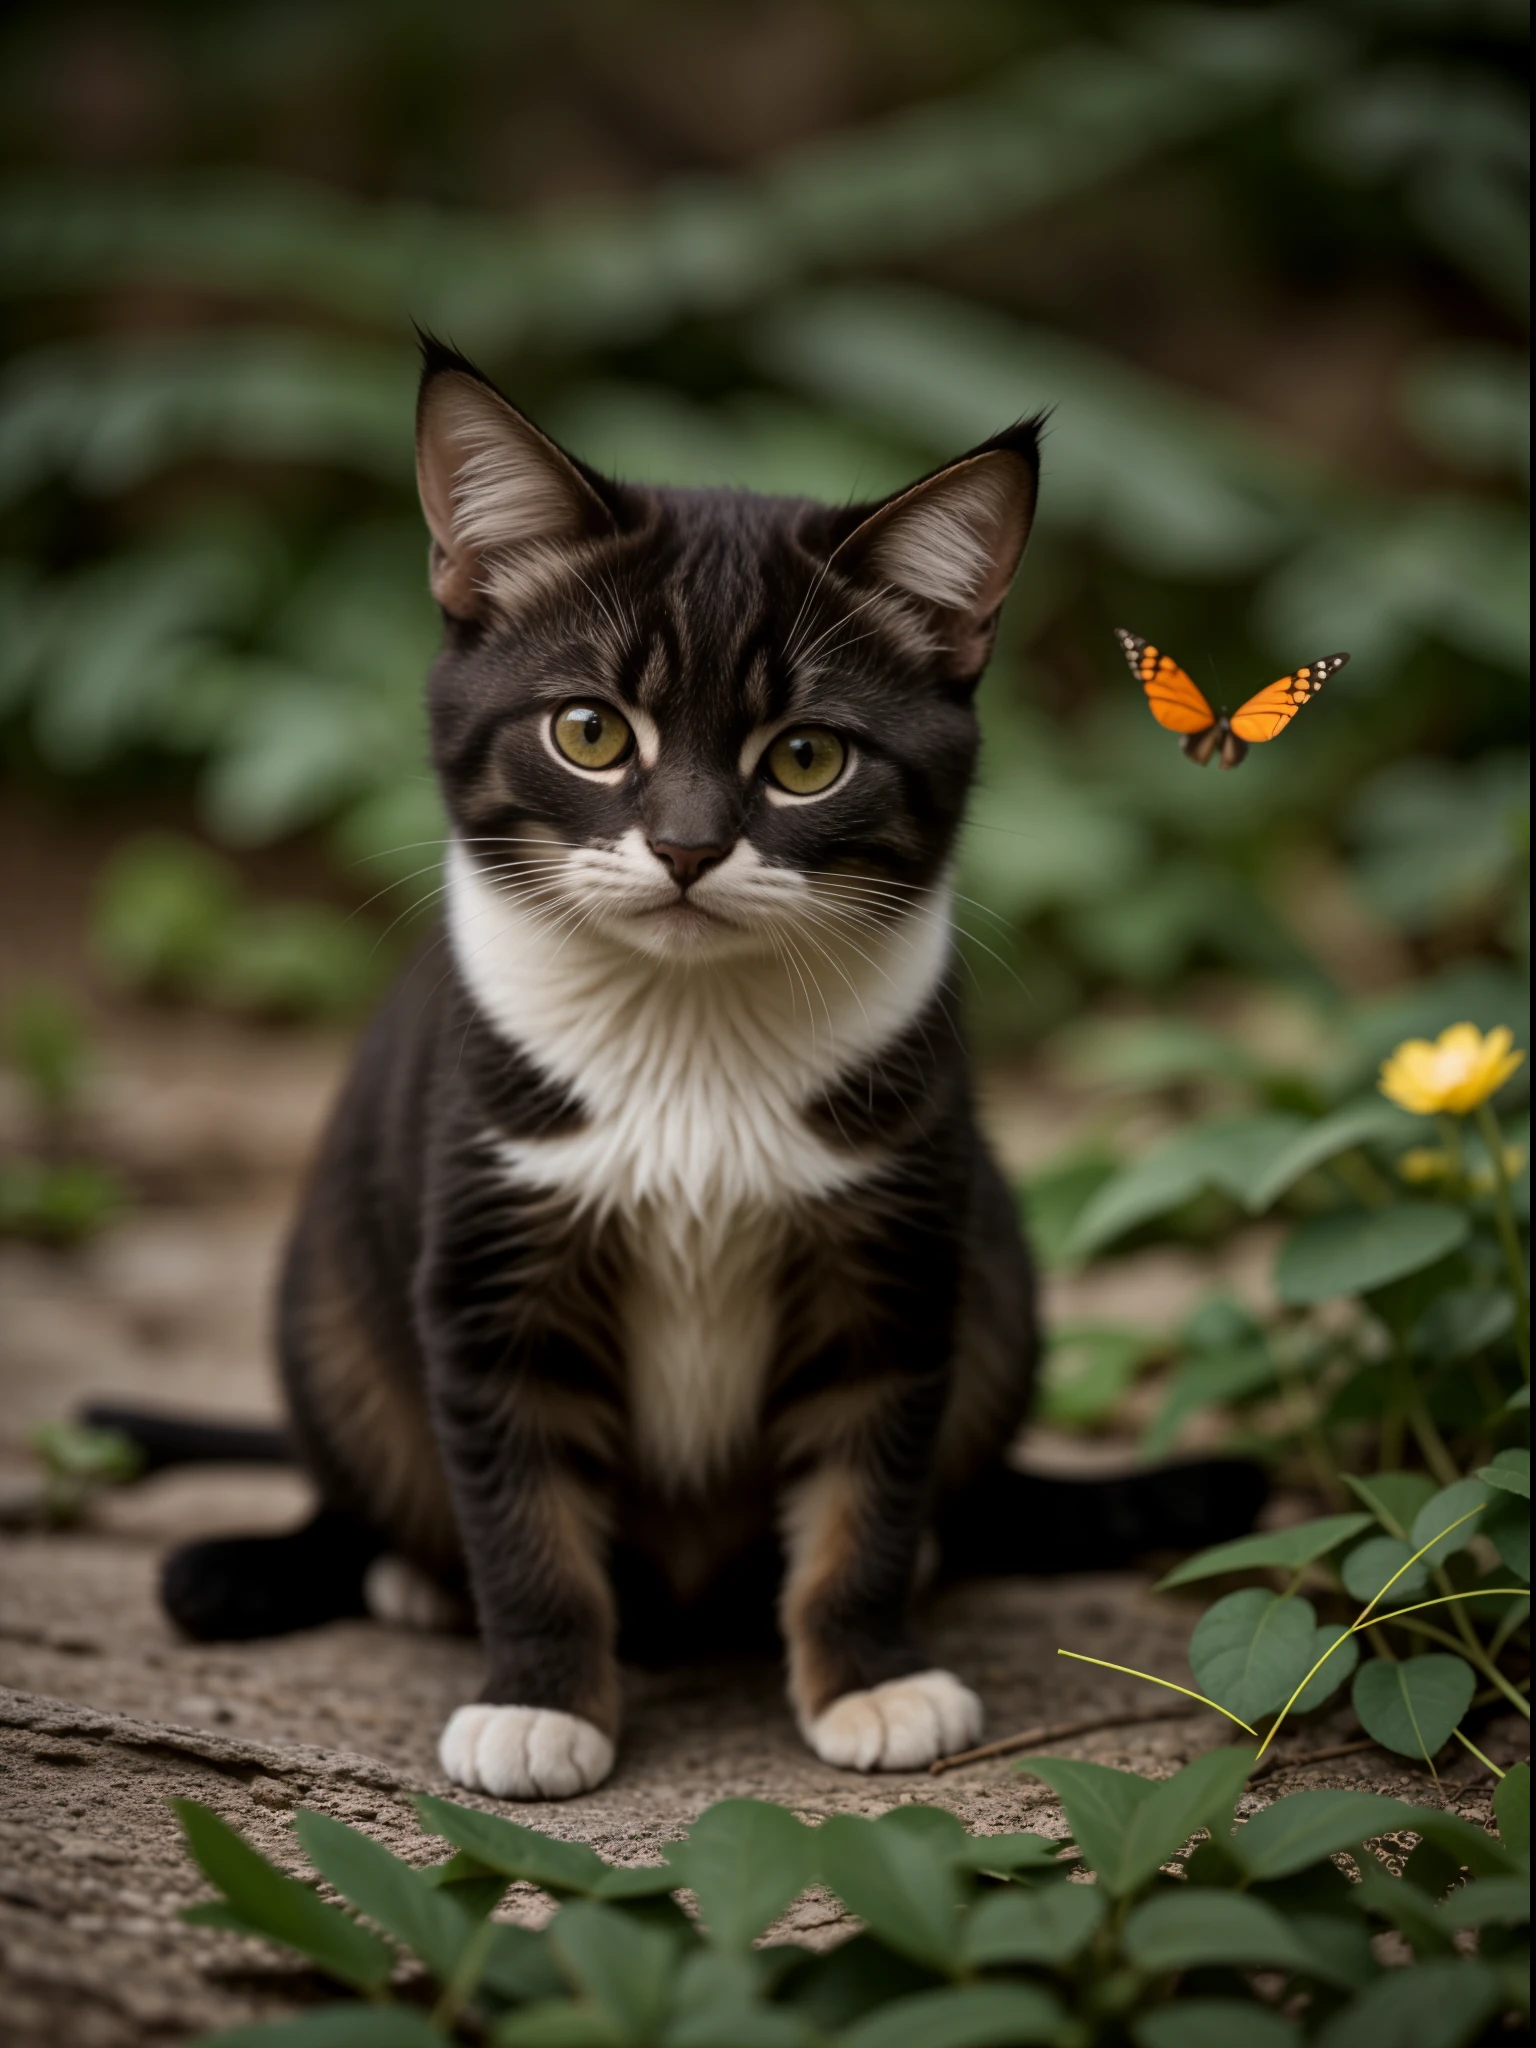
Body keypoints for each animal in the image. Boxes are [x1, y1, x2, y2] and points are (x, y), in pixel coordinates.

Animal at [153, 344, 1261, 1802]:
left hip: (999, 1271)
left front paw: (871, 1677)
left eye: (805, 757)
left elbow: (865, 1485)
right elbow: (523, 1508)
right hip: (327, 1297)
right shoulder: (491, 1260)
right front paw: (539, 1703)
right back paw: (391, 1571)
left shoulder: (894, 1257)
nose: (685, 846)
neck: (690, 1037)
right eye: (588, 731)